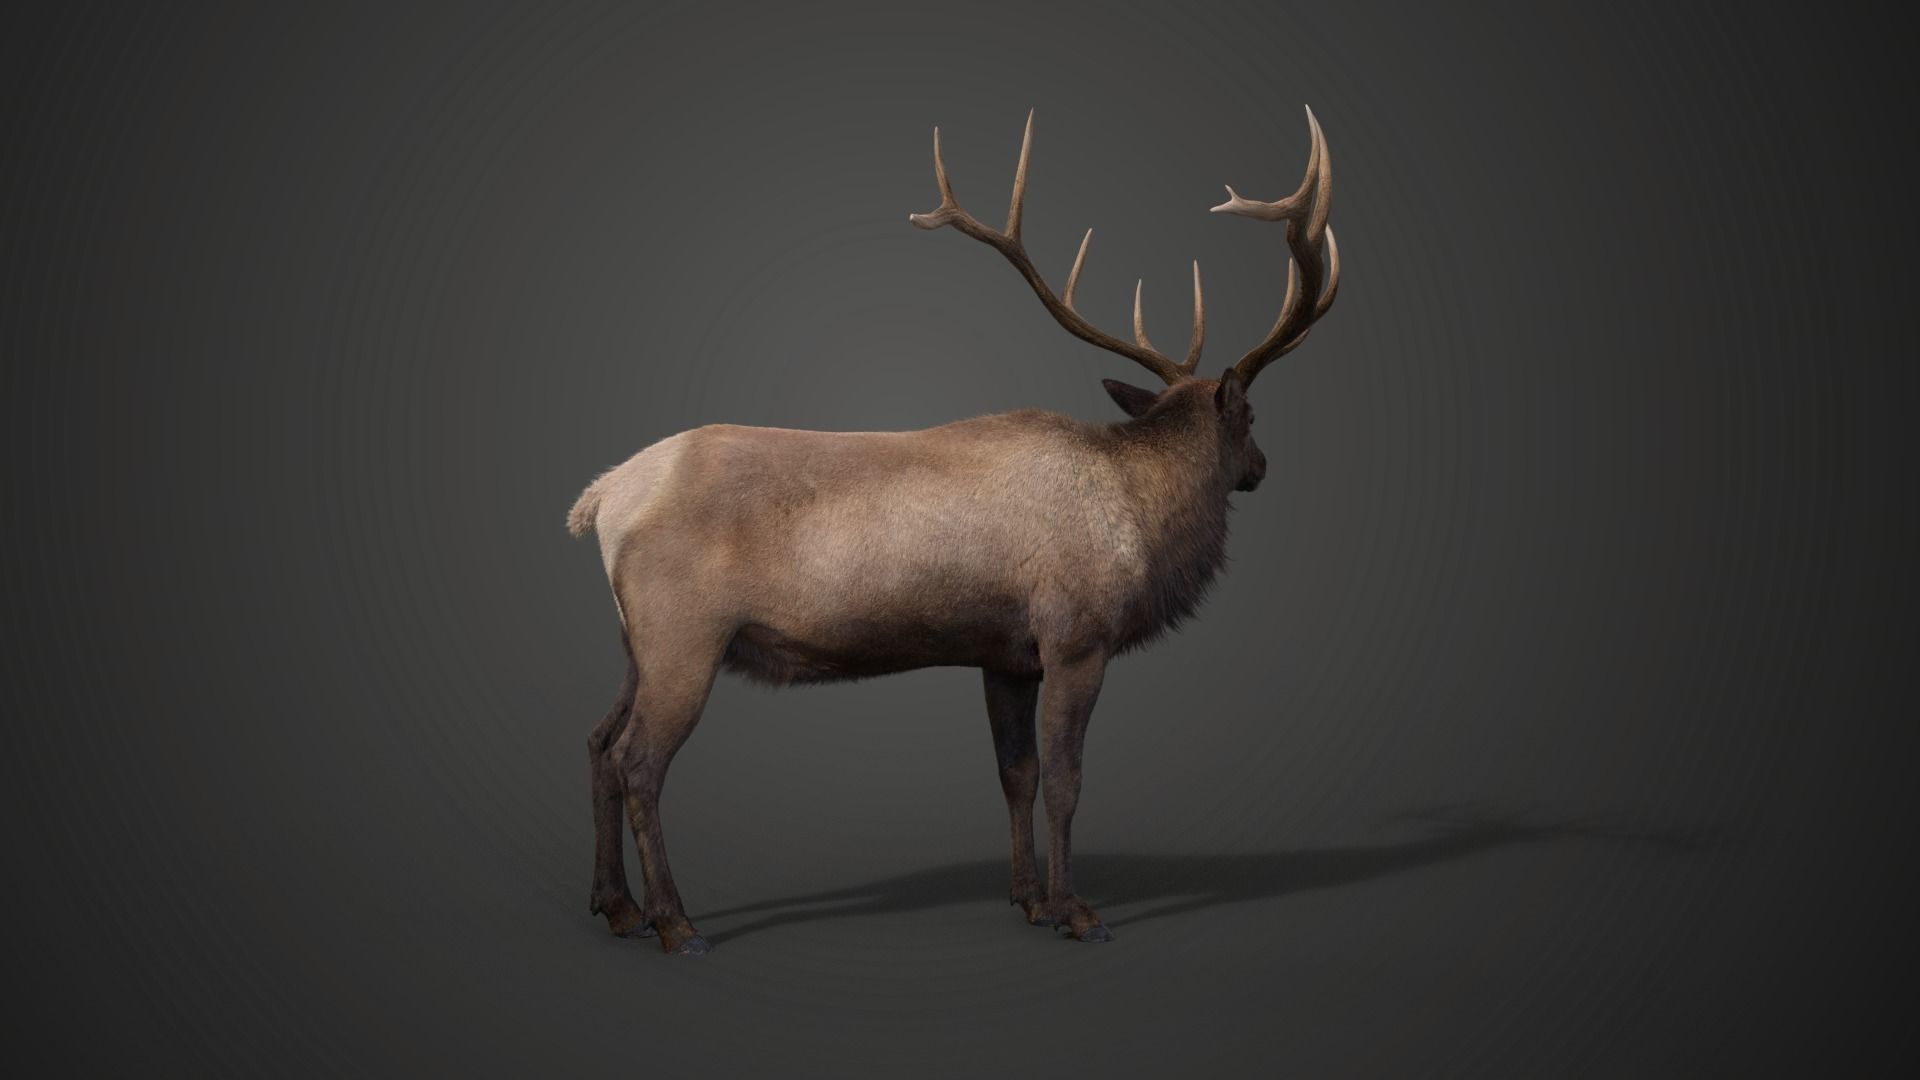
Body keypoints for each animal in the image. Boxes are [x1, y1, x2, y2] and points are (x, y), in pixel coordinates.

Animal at [568, 107, 1339, 954]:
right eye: (1250, 418)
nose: (1262, 467)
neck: (1142, 519)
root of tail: (601, 498)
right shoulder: (1076, 636)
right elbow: (1065, 779)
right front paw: (1077, 910)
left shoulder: (1004, 655)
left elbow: (1016, 775)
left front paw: (1029, 898)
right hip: (685, 635)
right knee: (639, 760)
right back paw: (677, 924)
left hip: (636, 642)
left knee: (598, 741)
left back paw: (617, 906)